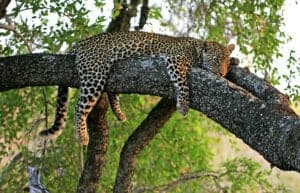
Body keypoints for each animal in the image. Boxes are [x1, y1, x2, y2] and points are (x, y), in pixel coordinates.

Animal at [39, 31, 236, 145]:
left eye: (225, 61)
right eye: (216, 60)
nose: (222, 73)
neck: (197, 49)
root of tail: (82, 42)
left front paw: (235, 61)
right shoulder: (175, 60)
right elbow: (183, 84)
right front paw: (183, 106)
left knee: (111, 93)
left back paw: (119, 114)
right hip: (95, 73)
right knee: (79, 107)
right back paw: (83, 136)